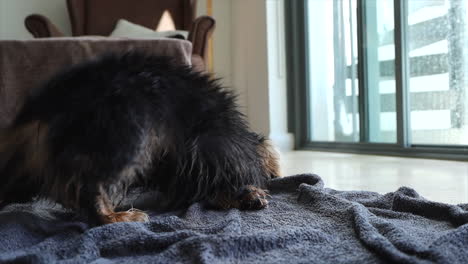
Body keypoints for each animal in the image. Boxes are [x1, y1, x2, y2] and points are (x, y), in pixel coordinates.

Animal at [0, 53, 280, 225]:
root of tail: (44, 104)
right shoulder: (212, 148)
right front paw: (248, 194)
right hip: (130, 130)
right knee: (92, 185)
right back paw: (115, 217)